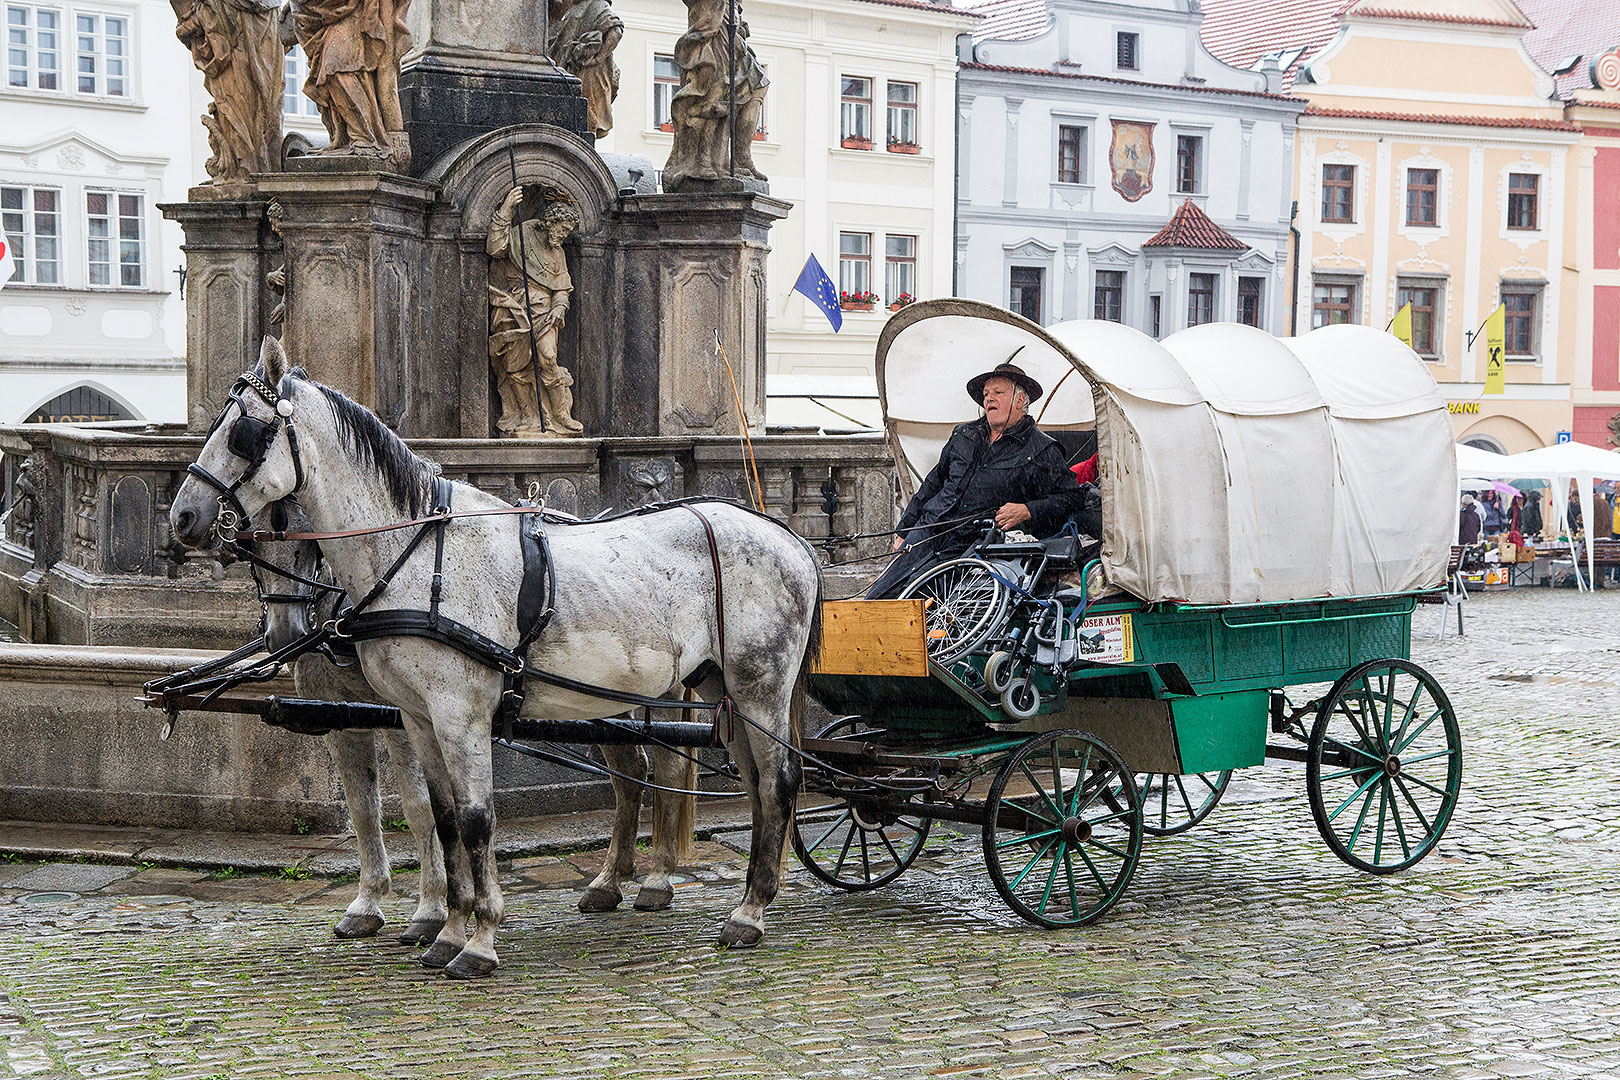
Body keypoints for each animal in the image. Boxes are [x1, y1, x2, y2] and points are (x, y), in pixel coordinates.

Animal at [174, 341, 822, 984]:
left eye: (243, 432)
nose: (183, 517)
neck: (414, 553)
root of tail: (788, 536)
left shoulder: (460, 715)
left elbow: (476, 819)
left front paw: (480, 939)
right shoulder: (416, 716)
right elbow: (440, 817)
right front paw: (448, 929)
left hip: (758, 685)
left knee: (777, 780)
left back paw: (749, 911)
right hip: (717, 688)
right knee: (736, 782)